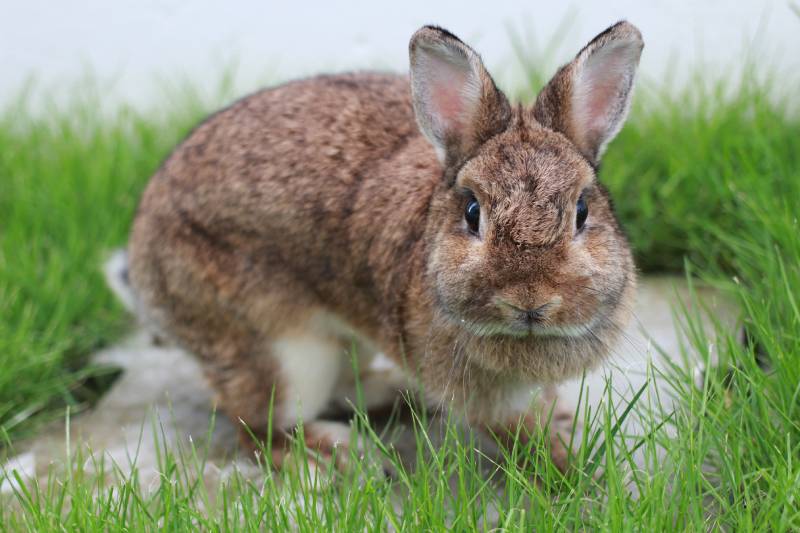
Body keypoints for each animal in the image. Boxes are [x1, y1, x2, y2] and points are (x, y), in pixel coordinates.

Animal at [130, 20, 644, 470]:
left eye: (582, 211)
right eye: (472, 213)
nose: (530, 300)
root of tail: (141, 256)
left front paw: (564, 424)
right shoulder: (485, 398)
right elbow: (517, 433)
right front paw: (570, 471)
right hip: (285, 353)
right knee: (257, 426)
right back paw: (331, 459)